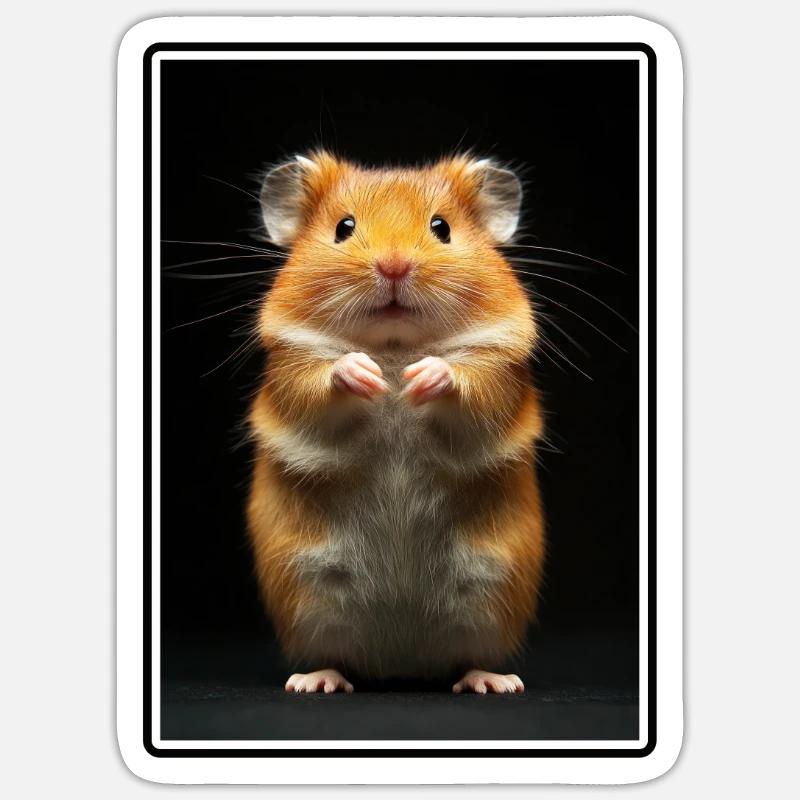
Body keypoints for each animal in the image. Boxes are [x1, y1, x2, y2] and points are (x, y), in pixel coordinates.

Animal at [246, 151, 545, 694]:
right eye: (343, 228)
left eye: (441, 228)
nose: (393, 266)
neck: (393, 344)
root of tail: (401, 664)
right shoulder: (291, 368)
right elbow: (319, 382)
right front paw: (365, 375)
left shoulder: (498, 370)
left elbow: (470, 382)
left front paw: (419, 377)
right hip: (309, 597)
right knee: (335, 657)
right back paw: (314, 681)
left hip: (491, 597)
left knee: (468, 658)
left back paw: (495, 682)